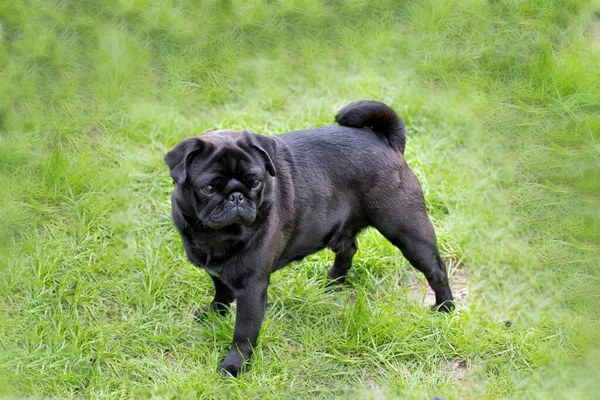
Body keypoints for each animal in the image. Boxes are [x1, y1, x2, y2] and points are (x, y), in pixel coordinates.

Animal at [162, 101, 452, 376]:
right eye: (209, 188)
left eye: (255, 183)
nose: (236, 197)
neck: (217, 234)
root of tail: (386, 141)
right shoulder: (218, 271)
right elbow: (221, 292)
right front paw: (215, 314)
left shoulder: (253, 287)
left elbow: (243, 332)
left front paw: (236, 365)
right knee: (348, 249)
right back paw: (333, 282)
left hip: (407, 231)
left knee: (436, 269)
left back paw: (445, 308)